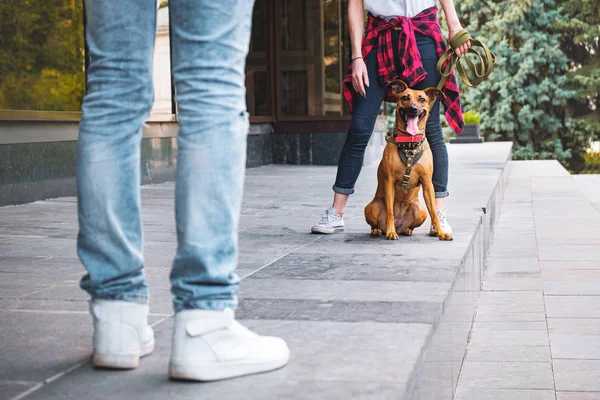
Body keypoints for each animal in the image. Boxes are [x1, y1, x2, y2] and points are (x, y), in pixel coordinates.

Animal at [364, 79, 452, 241]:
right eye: (405, 97)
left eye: (422, 99)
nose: (413, 108)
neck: (410, 144)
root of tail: (400, 226)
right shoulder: (389, 181)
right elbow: (390, 212)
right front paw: (390, 232)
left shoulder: (427, 182)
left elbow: (434, 212)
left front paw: (441, 233)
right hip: (372, 206)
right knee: (376, 223)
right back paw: (379, 230)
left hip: (420, 209)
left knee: (413, 223)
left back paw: (407, 230)